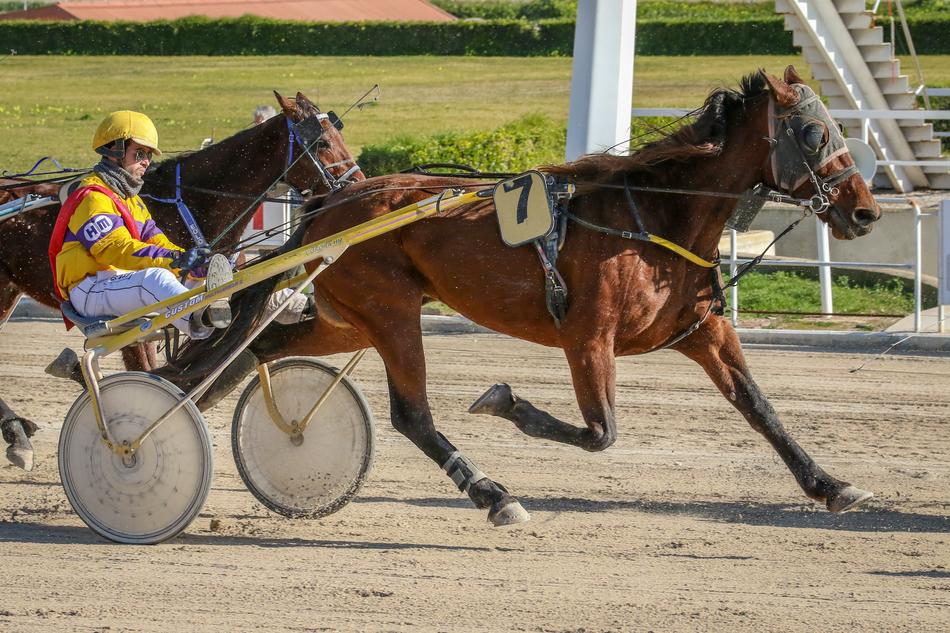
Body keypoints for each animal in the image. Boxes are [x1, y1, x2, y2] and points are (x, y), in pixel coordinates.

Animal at [0, 90, 363, 469]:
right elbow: (143, 369)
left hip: (8, 288)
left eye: (337, 133)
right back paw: (18, 432)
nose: (357, 183)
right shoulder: (133, 319)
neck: (190, 203)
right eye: (322, 142)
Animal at [167, 67, 883, 526]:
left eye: (838, 128)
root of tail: (328, 204)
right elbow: (600, 433)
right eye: (814, 133)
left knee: (257, 349)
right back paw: (492, 494)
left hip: (350, 318)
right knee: (411, 414)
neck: (653, 215)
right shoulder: (588, 337)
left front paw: (830, 484)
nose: (866, 212)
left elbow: (759, 407)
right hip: (391, 310)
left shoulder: (702, 329)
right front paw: (504, 401)